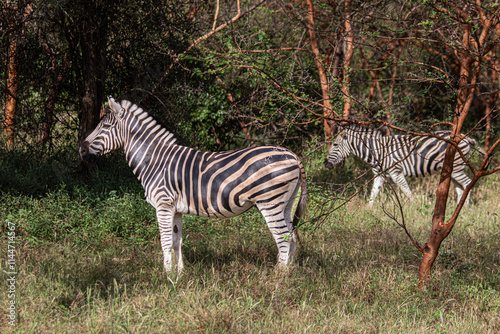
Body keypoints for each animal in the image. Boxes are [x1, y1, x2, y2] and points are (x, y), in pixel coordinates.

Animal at [79, 97, 306, 274]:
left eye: (105, 127)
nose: (81, 149)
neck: (154, 160)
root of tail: (292, 154)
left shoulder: (163, 205)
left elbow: (165, 241)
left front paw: (166, 276)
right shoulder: (176, 209)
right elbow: (176, 241)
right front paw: (180, 273)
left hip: (270, 201)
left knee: (283, 237)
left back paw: (278, 276)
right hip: (286, 203)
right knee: (292, 235)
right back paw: (289, 272)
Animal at [324, 124, 476, 206]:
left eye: (335, 144)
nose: (325, 163)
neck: (377, 151)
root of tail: (465, 137)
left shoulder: (396, 172)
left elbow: (407, 192)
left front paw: (415, 209)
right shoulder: (380, 175)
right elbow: (373, 194)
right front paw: (367, 212)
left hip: (457, 168)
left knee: (467, 183)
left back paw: (465, 209)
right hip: (452, 169)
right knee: (460, 189)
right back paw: (458, 210)